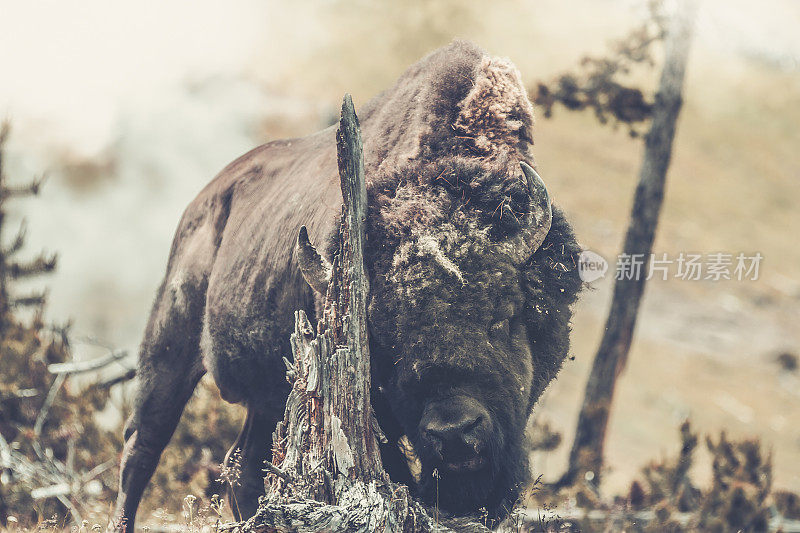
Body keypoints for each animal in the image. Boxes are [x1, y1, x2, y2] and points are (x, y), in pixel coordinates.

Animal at [109, 39, 580, 528]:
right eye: (384, 342)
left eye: (503, 317)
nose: (454, 434)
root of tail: (202, 203)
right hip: (168, 345)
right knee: (142, 445)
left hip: (267, 395)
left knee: (241, 463)